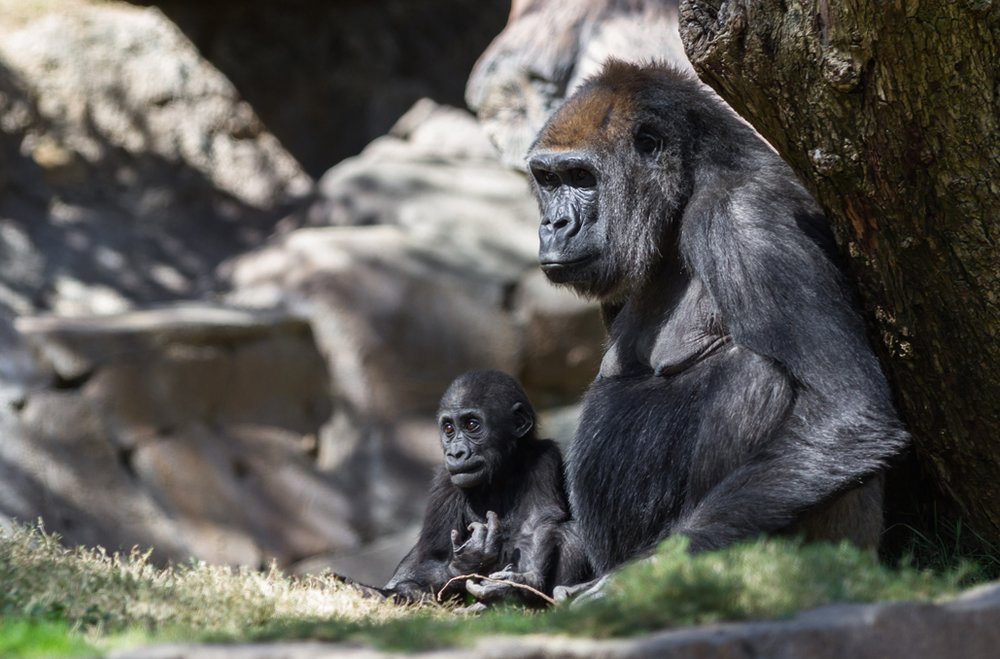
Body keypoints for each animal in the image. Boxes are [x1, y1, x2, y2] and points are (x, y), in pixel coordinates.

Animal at [380, 368, 576, 604]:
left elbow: (537, 523)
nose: (456, 453)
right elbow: (430, 558)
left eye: (471, 425)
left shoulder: (545, 458)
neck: (501, 471)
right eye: (449, 428)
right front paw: (468, 561)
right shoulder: (444, 483)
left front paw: (520, 583)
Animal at [528, 62, 912, 576]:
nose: (554, 226)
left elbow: (848, 411)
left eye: (581, 176)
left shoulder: (745, 217)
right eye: (547, 180)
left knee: (760, 378)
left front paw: (639, 578)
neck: (688, 189)